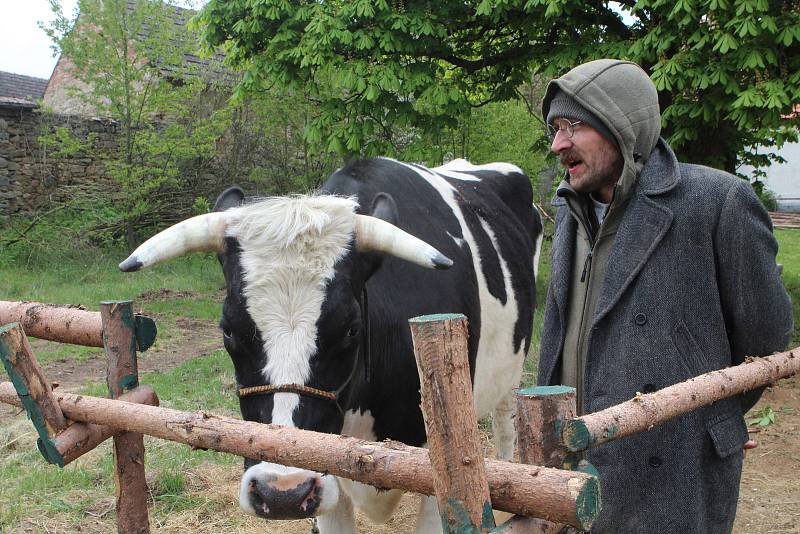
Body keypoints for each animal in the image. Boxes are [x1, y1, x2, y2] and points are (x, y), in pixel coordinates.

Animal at [119, 159, 544, 534]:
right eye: (228, 330)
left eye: (351, 329)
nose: (283, 492)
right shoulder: (327, 467)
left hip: (510, 373)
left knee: (506, 427)